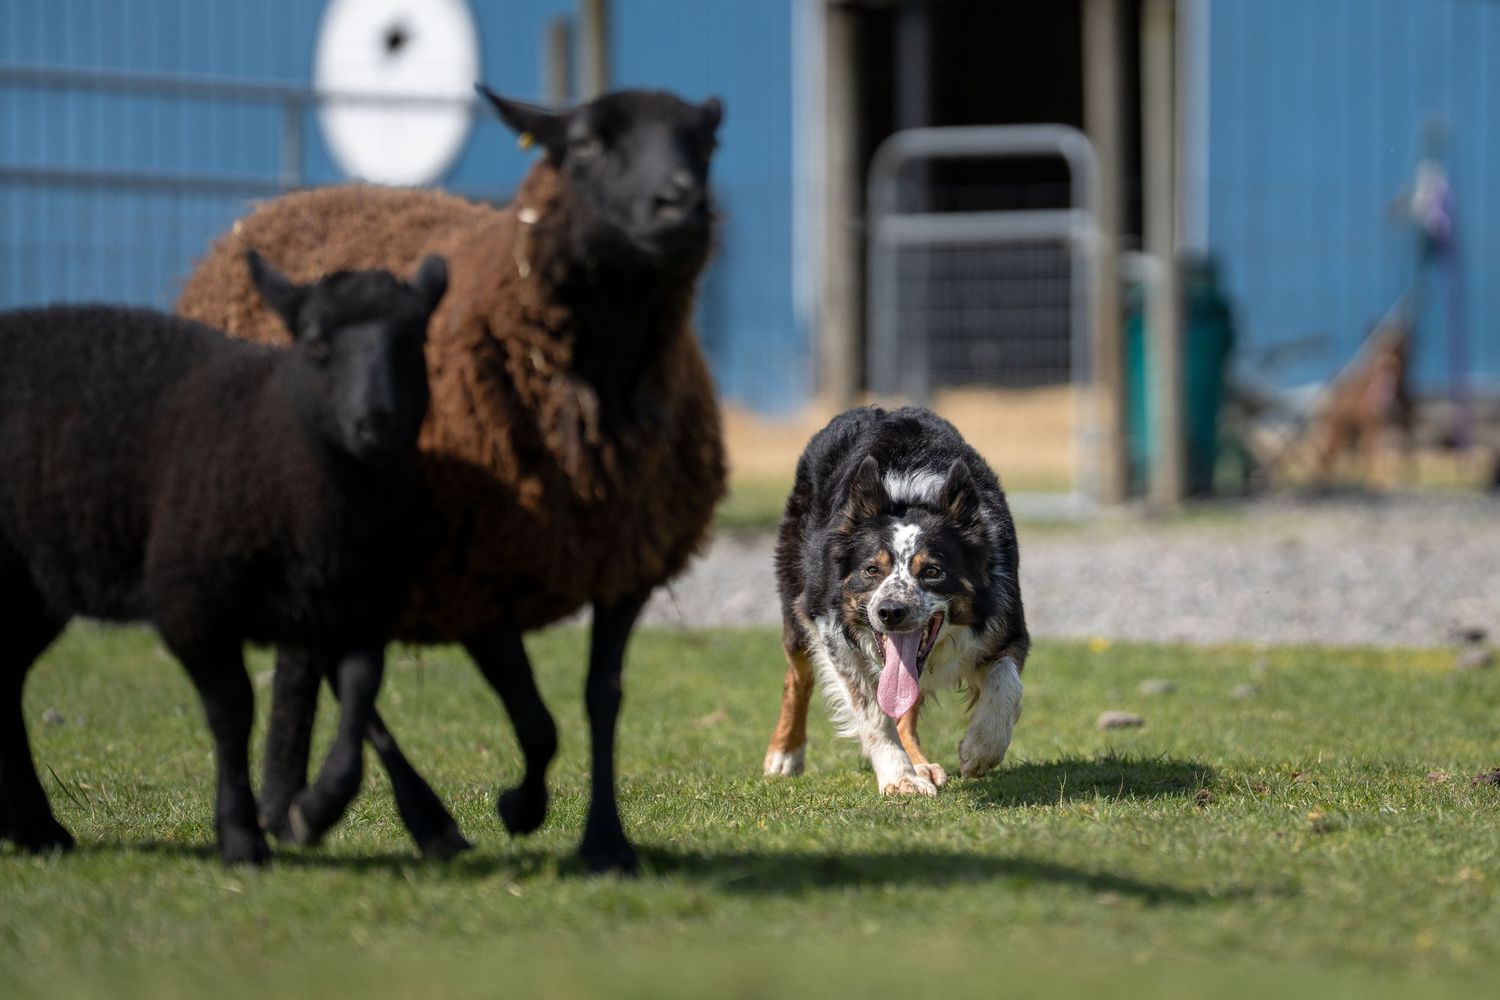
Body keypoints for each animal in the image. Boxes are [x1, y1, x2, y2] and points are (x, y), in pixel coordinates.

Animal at [0, 252, 448, 865]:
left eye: (417, 339)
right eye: (315, 343)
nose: (378, 423)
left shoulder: (352, 604)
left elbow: (360, 694)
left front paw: (317, 809)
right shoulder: (191, 603)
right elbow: (234, 712)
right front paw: (241, 837)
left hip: (33, 587)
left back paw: (34, 829)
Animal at [175, 87, 727, 873]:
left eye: (704, 144)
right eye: (584, 145)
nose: (682, 205)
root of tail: (267, 213)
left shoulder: (625, 562)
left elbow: (601, 697)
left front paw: (605, 841)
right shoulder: (473, 575)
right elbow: (536, 720)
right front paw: (521, 808)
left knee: (304, 659)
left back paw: (286, 801)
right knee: (341, 675)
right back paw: (411, 819)